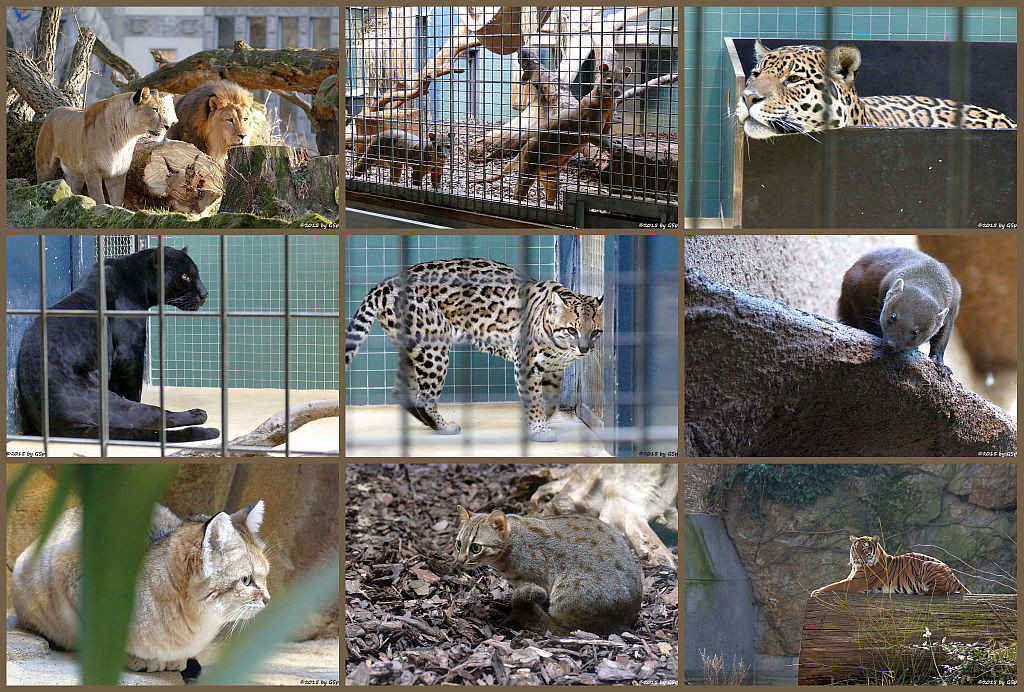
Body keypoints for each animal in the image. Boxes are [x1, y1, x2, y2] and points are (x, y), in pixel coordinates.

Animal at [35, 86, 175, 206]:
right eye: (155, 109)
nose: (168, 126)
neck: (125, 139)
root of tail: (54, 111)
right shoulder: (92, 171)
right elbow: (99, 200)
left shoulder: (118, 174)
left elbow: (118, 201)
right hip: (45, 165)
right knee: (40, 185)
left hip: (74, 174)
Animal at [346, 256, 598, 440]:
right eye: (572, 330)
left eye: (595, 332)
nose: (584, 349)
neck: (559, 346)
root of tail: (385, 285)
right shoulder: (526, 364)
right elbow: (534, 397)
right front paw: (539, 427)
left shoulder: (554, 369)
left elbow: (551, 398)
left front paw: (542, 418)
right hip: (434, 347)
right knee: (424, 398)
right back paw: (444, 427)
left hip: (413, 348)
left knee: (402, 392)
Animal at [475, 61, 626, 205]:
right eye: (609, 81)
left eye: (622, 82)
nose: (616, 92)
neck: (607, 105)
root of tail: (523, 149)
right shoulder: (592, 130)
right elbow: (602, 141)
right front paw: (616, 146)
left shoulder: (606, 127)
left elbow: (607, 136)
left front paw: (618, 141)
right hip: (529, 170)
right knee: (519, 190)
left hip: (551, 177)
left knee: (549, 196)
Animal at [806, 536, 966, 593]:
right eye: (856, 548)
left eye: (865, 548)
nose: (857, 557)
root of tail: (954, 576)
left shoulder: (857, 582)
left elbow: (834, 585)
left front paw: (816, 592)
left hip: (927, 565)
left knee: (940, 591)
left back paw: (921, 591)